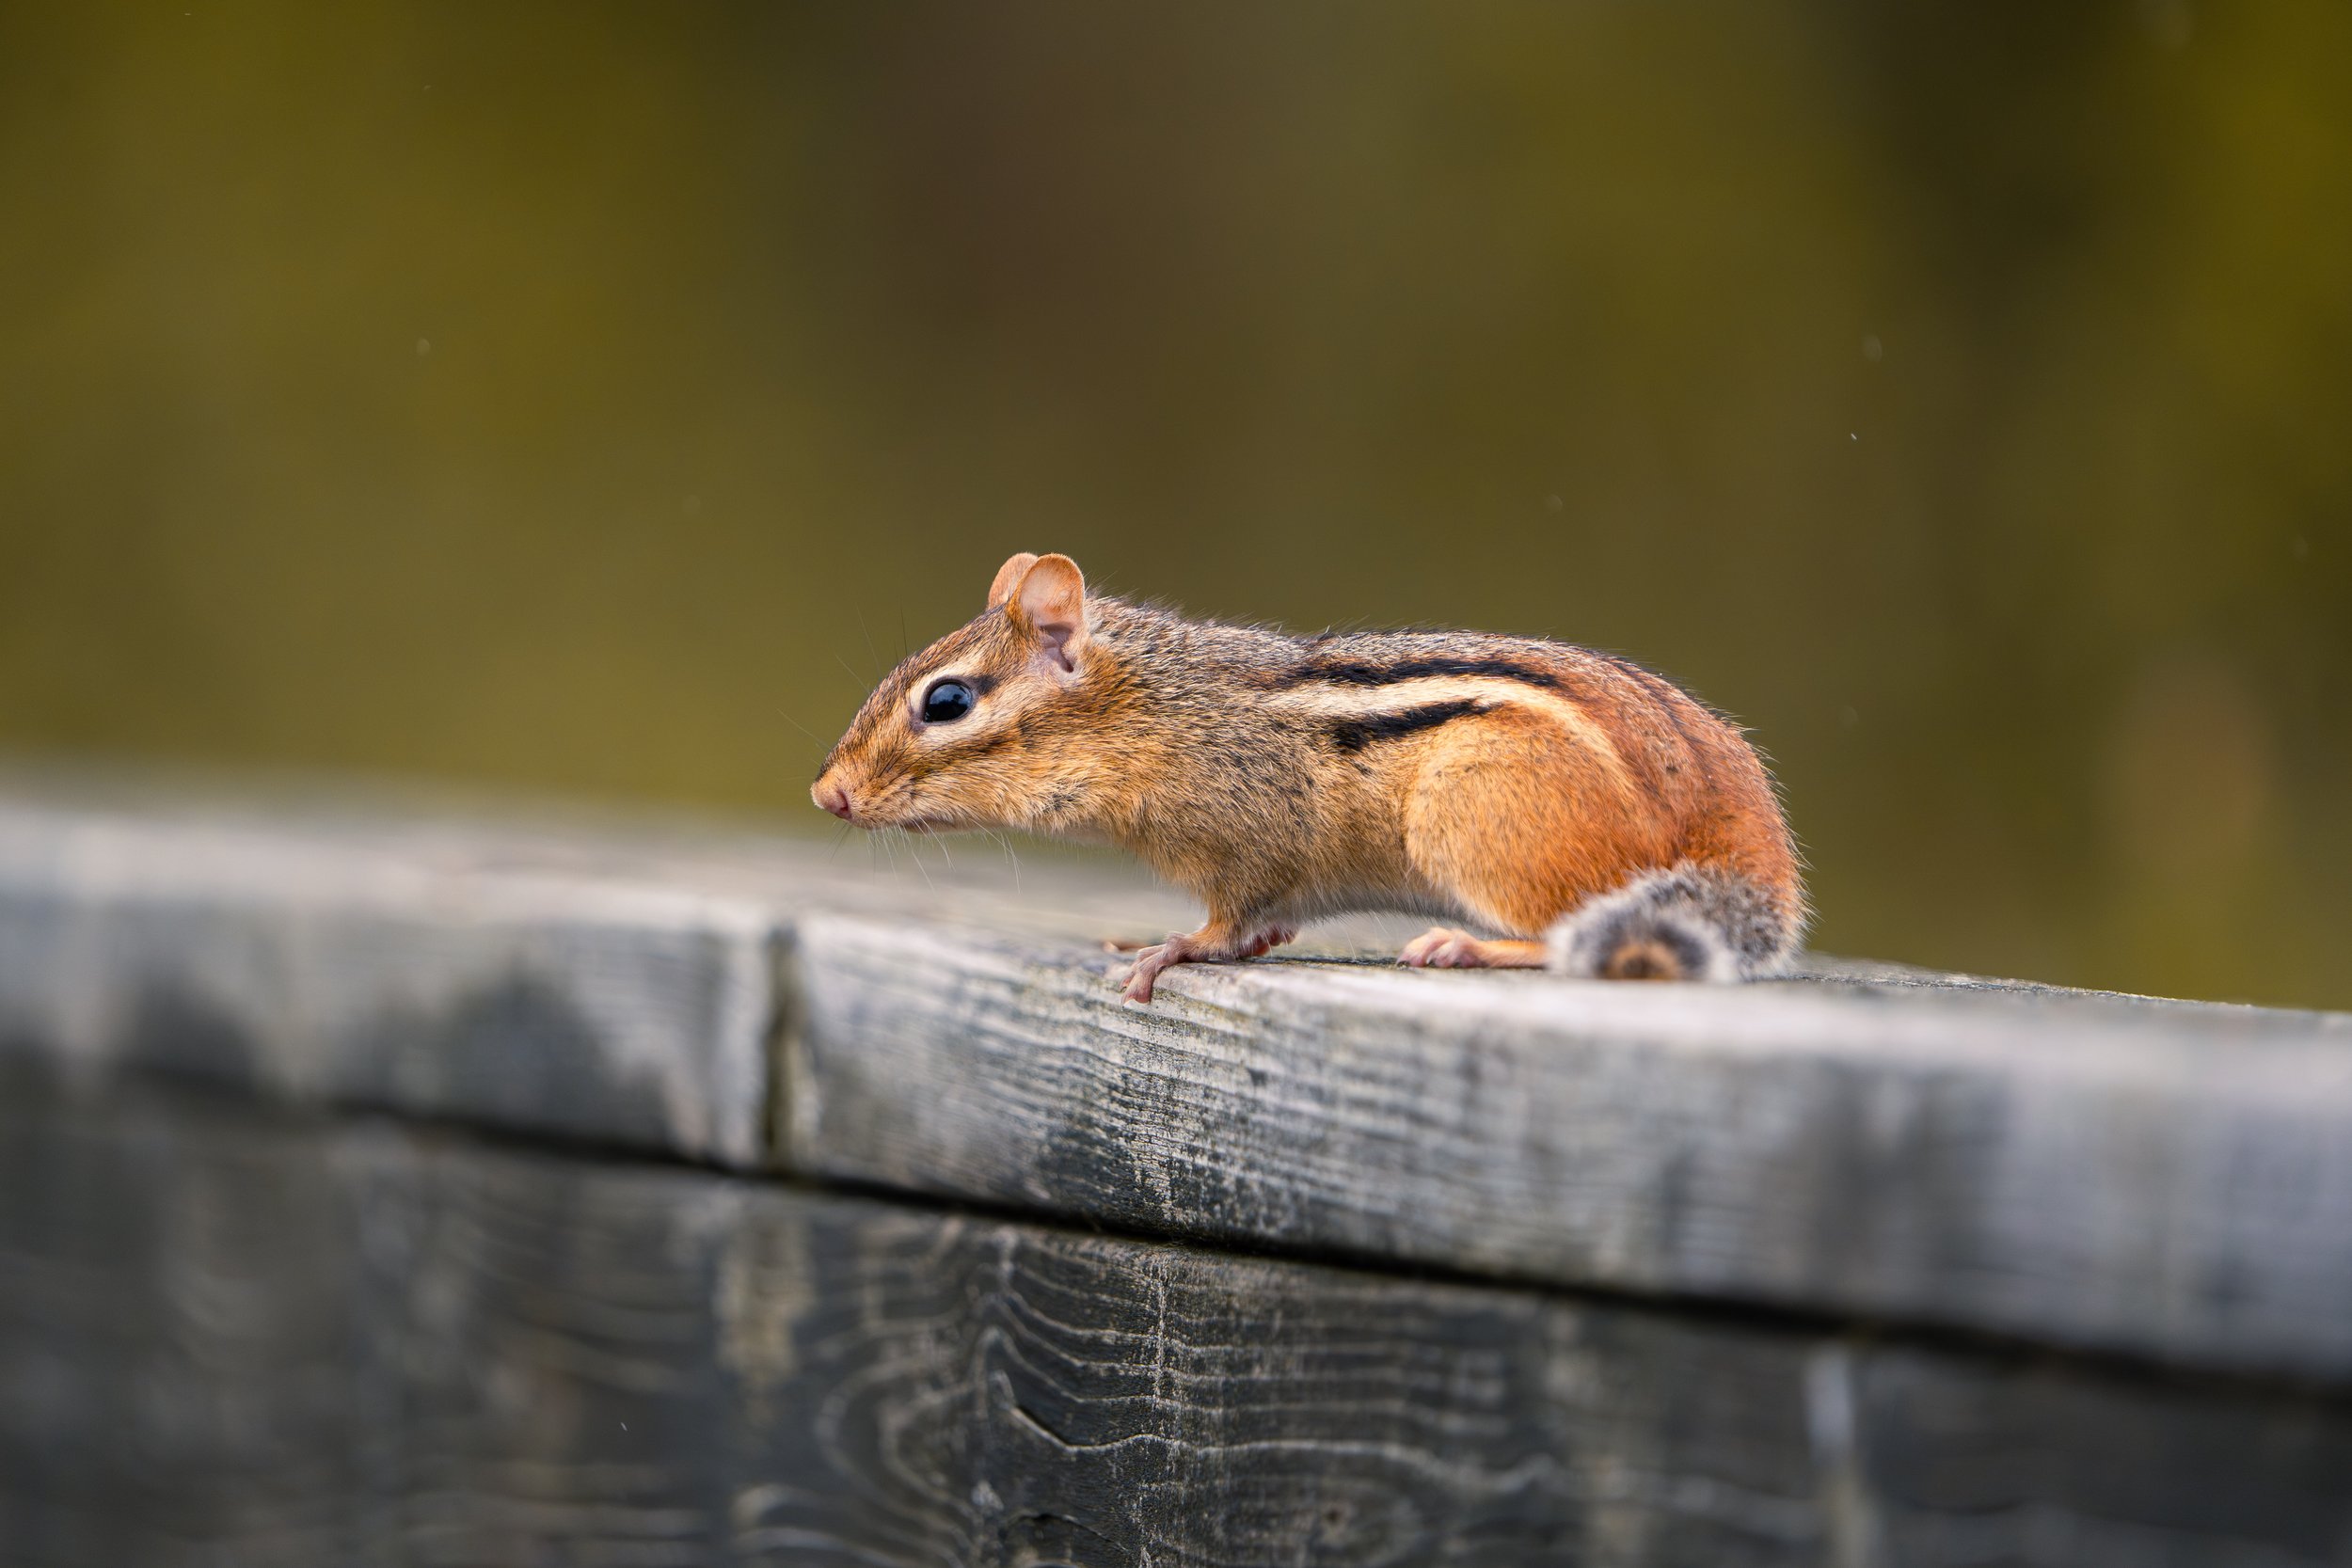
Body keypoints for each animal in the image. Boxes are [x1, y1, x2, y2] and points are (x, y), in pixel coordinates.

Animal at [813, 552, 1806, 1003]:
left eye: (946, 701)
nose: (830, 794)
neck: (1156, 710)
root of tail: (1735, 824)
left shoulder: (1249, 843)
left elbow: (1228, 919)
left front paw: (1171, 950)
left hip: (1473, 817)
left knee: (1557, 934)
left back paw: (1465, 945)